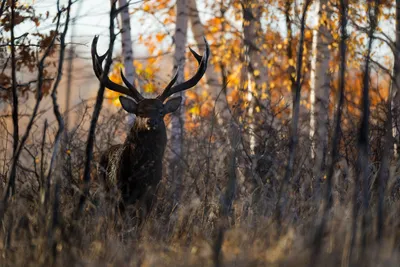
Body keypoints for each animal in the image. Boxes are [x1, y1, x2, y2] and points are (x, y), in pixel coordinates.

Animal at [93, 35, 209, 219]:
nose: (151, 121)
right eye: (139, 112)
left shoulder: (152, 192)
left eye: (161, 112)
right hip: (105, 189)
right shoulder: (120, 191)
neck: (141, 175)